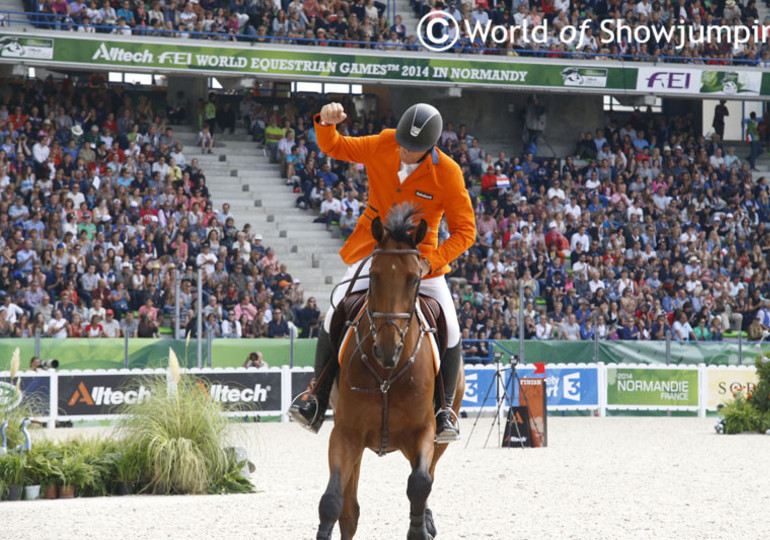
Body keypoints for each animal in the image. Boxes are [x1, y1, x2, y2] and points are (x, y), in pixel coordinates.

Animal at [316, 206, 462, 540]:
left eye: (415, 278)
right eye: (373, 276)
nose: (387, 349)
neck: (387, 375)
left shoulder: (424, 432)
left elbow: (420, 483)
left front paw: (419, 529)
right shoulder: (345, 434)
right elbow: (333, 502)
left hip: (440, 435)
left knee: (429, 473)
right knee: (350, 510)